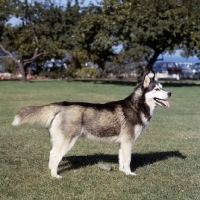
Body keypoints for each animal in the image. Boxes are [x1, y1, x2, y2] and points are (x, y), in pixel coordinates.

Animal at [12, 73, 171, 178]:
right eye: (156, 89)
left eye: (162, 87)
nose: (169, 93)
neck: (137, 106)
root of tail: (62, 105)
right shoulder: (128, 141)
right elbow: (128, 160)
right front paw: (129, 173)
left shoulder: (122, 143)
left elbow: (121, 159)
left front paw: (121, 171)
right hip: (67, 141)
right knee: (56, 155)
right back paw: (55, 176)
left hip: (59, 140)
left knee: (51, 154)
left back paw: (51, 171)